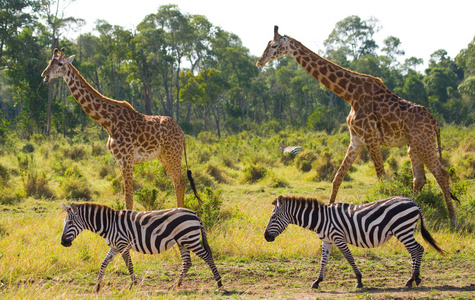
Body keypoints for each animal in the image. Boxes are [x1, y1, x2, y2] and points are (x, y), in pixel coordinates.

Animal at [40, 48, 201, 210]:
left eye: (60, 63)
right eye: (49, 62)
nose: (44, 75)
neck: (108, 122)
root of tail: (182, 133)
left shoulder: (127, 159)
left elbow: (129, 199)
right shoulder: (119, 160)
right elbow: (126, 197)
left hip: (172, 154)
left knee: (179, 184)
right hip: (163, 156)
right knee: (177, 184)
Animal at [61, 202, 223, 290]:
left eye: (70, 222)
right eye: (65, 222)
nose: (63, 243)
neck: (109, 225)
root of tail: (195, 214)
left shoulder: (122, 244)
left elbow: (129, 265)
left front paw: (133, 285)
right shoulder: (114, 247)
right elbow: (104, 263)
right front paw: (97, 286)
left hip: (190, 240)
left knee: (208, 257)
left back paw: (219, 284)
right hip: (182, 242)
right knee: (187, 262)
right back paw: (175, 285)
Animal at [258, 26, 460, 223]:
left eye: (274, 46)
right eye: (267, 44)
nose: (260, 61)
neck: (350, 94)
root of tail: (435, 123)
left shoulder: (371, 138)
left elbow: (382, 178)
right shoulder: (356, 139)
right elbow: (338, 176)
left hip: (424, 143)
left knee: (441, 174)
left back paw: (452, 219)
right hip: (414, 146)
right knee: (419, 179)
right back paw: (417, 211)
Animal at [266, 196, 444, 290]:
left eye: (274, 217)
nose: (266, 237)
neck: (321, 219)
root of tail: (413, 202)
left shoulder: (338, 238)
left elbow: (349, 258)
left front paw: (359, 280)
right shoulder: (327, 241)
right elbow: (323, 261)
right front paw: (317, 281)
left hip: (403, 229)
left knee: (418, 249)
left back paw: (412, 279)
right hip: (405, 230)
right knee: (415, 251)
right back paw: (414, 279)